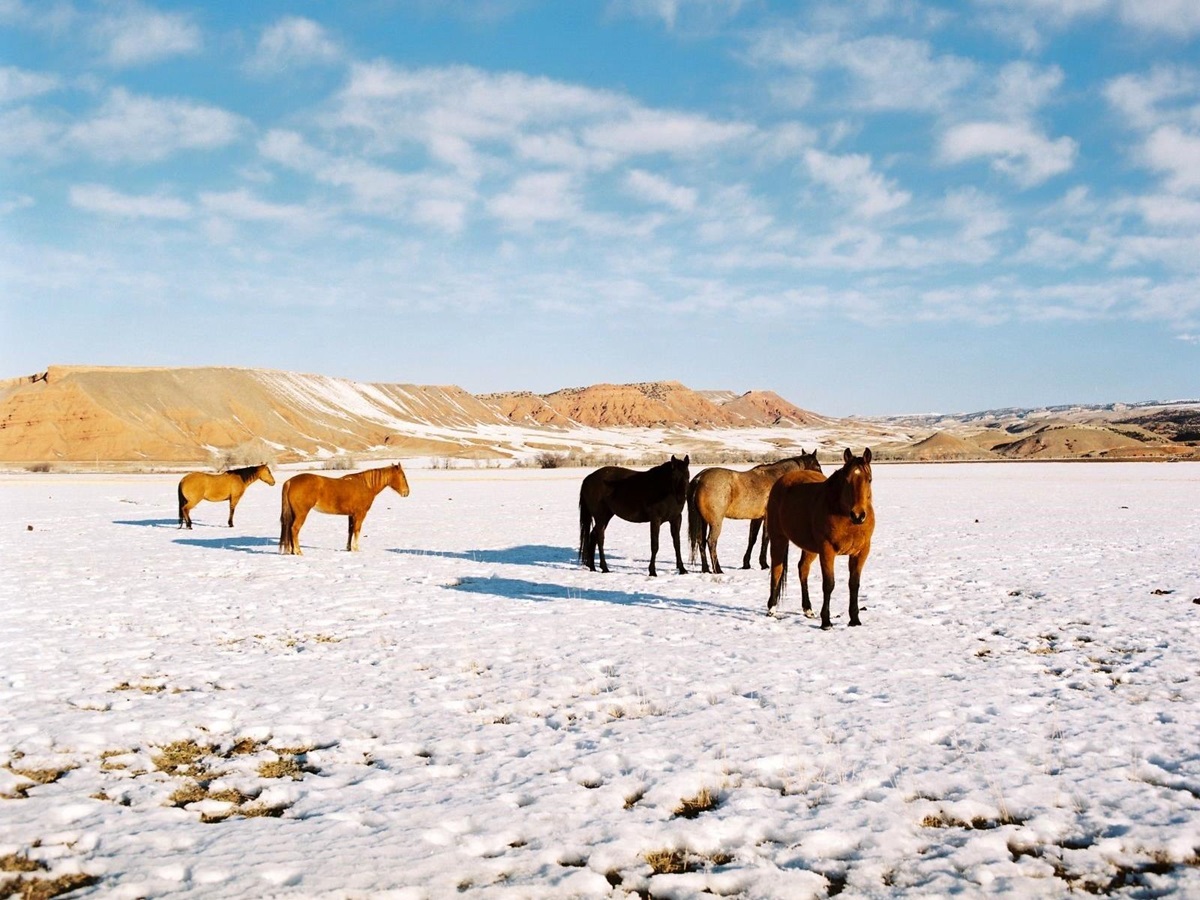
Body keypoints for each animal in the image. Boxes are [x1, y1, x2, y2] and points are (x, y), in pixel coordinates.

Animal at [279, 463, 410, 555]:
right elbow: (357, 530)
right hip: (301, 513)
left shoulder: (351, 515)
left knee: (289, 529)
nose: (407, 492)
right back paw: (298, 551)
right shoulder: (360, 514)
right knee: (294, 529)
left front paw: (349, 548)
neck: (365, 486)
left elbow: (350, 530)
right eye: (403, 476)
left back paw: (292, 551)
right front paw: (356, 548)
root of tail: (290, 481)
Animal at [687, 451, 822, 574]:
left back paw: (706, 569)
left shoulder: (757, 518)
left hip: (702, 521)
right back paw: (718, 569)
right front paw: (764, 564)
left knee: (701, 541)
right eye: (817, 466)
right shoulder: (768, 517)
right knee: (711, 542)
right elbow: (765, 539)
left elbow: (752, 539)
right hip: (715, 522)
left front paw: (746, 564)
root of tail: (699, 478)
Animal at [765, 448, 874, 629]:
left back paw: (808, 609)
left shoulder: (861, 552)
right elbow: (829, 584)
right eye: (847, 480)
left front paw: (854, 619)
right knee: (777, 570)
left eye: (869, 479)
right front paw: (826, 622)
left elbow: (854, 584)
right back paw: (772, 608)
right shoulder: (827, 550)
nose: (858, 515)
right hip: (778, 538)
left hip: (809, 548)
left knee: (803, 569)